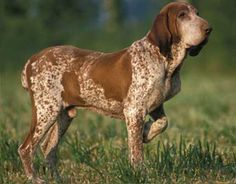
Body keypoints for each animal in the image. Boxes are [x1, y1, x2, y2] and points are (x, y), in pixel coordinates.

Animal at [18, 1, 212, 183]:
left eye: (197, 13)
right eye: (182, 15)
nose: (208, 29)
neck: (164, 60)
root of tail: (32, 60)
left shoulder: (156, 106)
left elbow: (163, 123)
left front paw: (147, 132)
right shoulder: (134, 111)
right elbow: (136, 151)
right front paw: (140, 174)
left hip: (64, 115)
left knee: (48, 148)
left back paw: (57, 179)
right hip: (46, 111)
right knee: (26, 148)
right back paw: (34, 178)